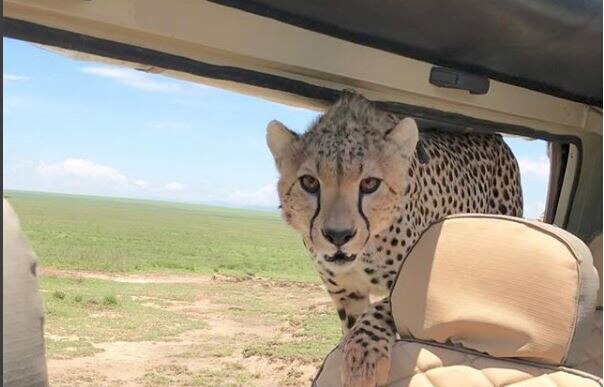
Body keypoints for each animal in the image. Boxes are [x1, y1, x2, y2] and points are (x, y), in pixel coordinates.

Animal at [266, 90, 520, 384]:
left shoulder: (413, 287)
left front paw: (363, 358)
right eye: (309, 183)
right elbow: (351, 324)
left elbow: (381, 310)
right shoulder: (346, 294)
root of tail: (494, 135)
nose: (338, 235)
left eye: (369, 183)